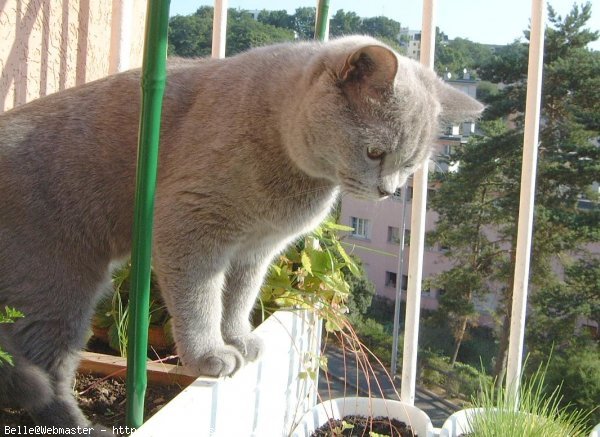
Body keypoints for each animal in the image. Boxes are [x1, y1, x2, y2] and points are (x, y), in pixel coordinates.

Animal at [0, 35, 478, 430]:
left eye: (411, 164)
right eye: (375, 152)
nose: (388, 190)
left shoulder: (258, 249)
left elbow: (239, 297)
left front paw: (239, 339)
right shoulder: (190, 222)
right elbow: (201, 299)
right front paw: (210, 355)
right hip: (57, 284)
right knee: (45, 370)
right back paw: (80, 424)